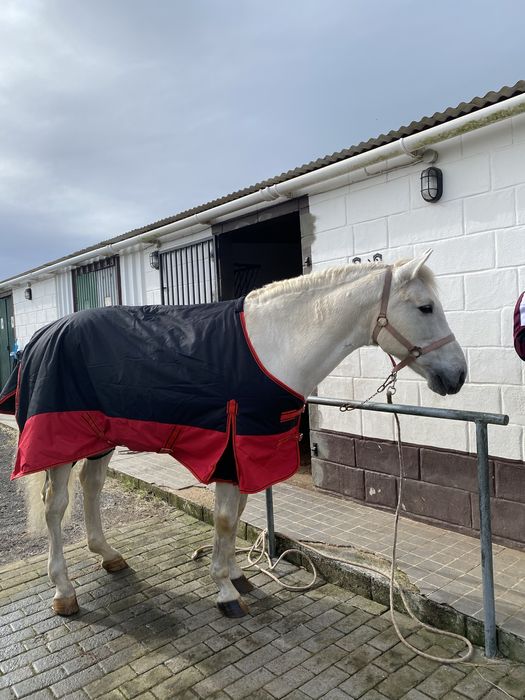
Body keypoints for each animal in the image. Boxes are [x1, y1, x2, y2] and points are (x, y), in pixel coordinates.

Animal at [2, 251, 466, 618]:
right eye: (425, 307)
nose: (458, 375)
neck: (272, 346)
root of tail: (44, 333)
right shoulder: (231, 448)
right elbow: (227, 519)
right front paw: (225, 591)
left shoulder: (247, 452)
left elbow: (241, 512)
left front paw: (239, 576)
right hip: (61, 443)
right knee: (55, 507)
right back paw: (64, 592)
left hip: (99, 439)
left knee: (92, 486)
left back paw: (109, 556)